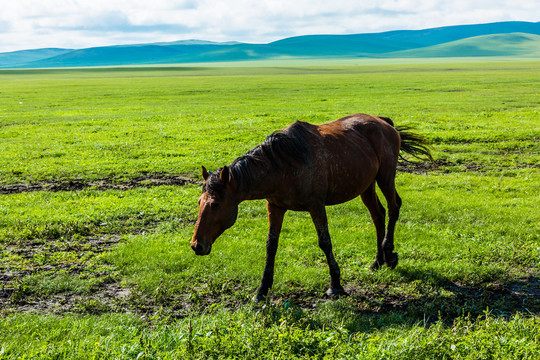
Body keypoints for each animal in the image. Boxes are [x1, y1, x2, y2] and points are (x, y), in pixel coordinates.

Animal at [190, 113, 430, 300]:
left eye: (216, 204)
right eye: (200, 202)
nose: (196, 245)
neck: (281, 166)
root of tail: (383, 122)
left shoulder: (316, 206)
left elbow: (325, 242)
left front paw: (335, 286)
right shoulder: (275, 207)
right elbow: (271, 245)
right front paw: (262, 289)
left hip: (385, 177)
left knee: (394, 207)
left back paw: (389, 253)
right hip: (366, 186)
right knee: (378, 215)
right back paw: (377, 261)